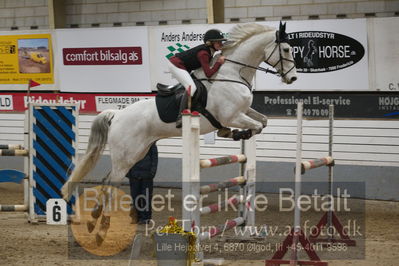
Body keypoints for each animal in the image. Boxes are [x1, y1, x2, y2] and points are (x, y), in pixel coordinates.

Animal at [60, 21, 296, 244]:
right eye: (286, 49)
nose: (292, 79)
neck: (231, 74)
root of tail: (117, 114)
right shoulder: (232, 115)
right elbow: (256, 126)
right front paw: (239, 134)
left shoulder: (243, 112)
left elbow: (263, 121)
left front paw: (232, 134)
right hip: (127, 155)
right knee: (110, 184)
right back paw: (101, 229)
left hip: (136, 152)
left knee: (106, 180)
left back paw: (93, 219)